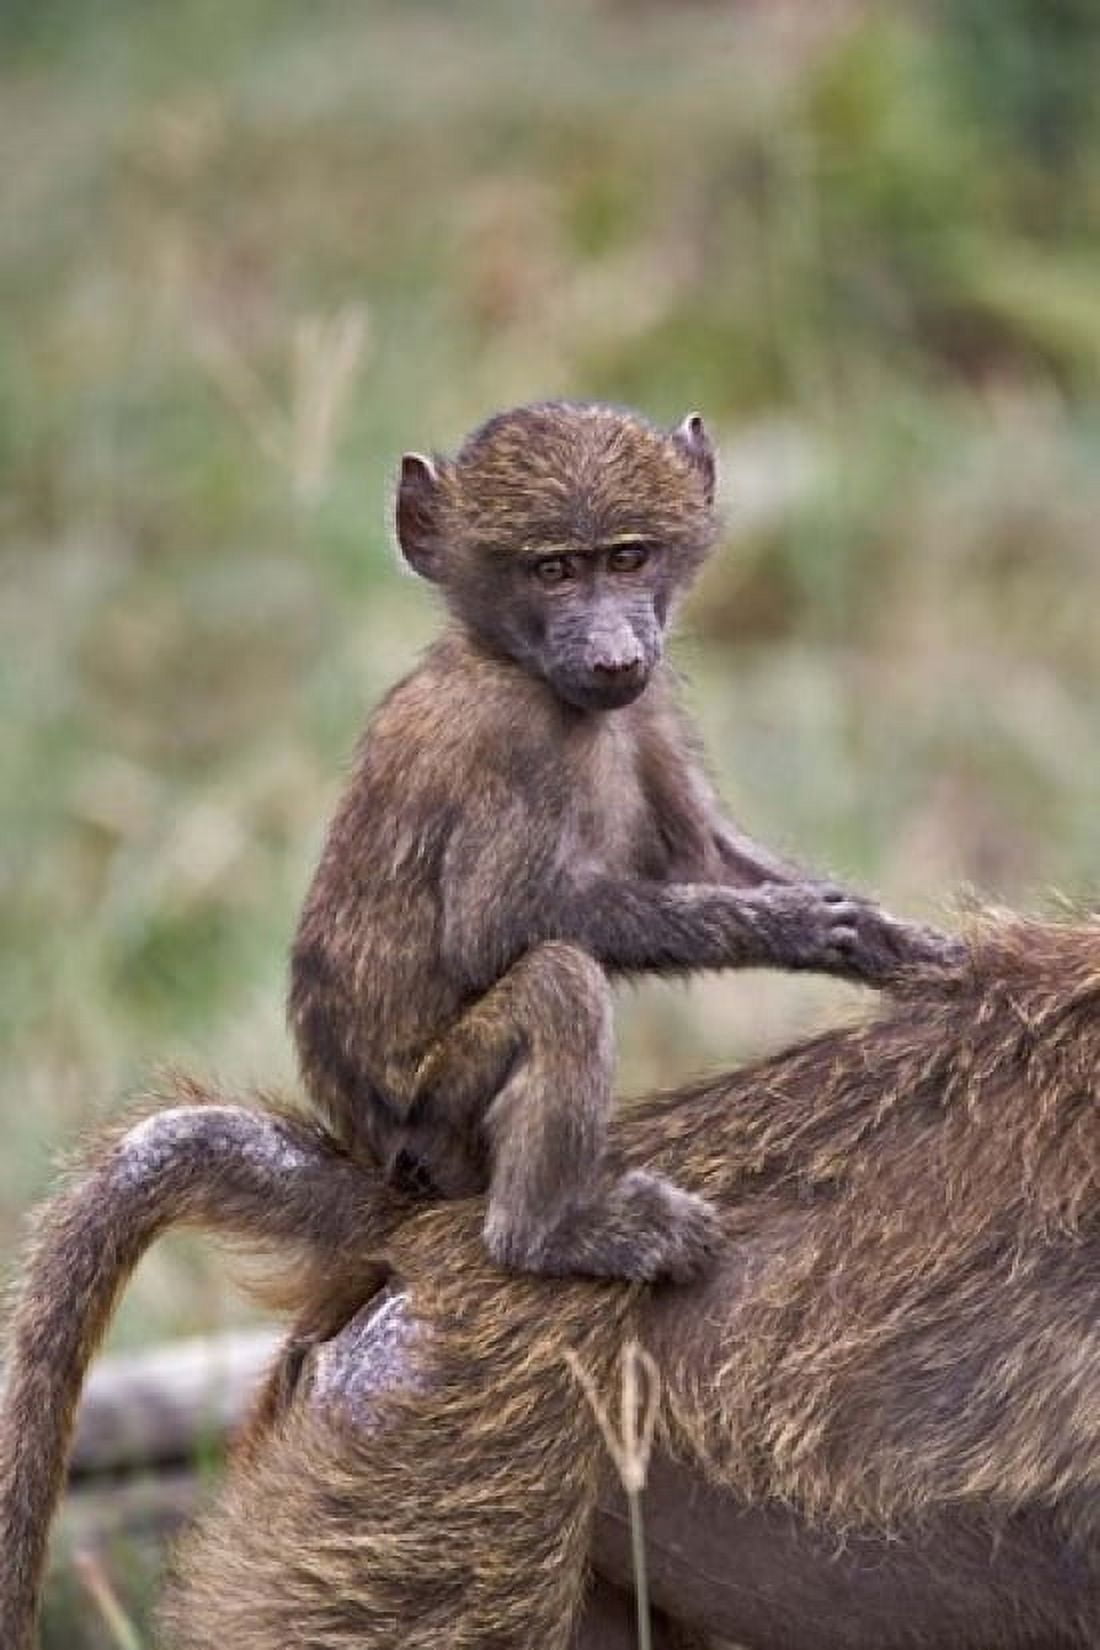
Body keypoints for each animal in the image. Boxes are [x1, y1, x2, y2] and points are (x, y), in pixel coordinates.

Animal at [289, 398, 957, 1282]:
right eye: (554, 571)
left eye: (628, 558)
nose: (614, 655)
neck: (513, 662)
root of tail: (368, 1150)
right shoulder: (512, 740)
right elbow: (495, 928)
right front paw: (799, 924)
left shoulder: (650, 702)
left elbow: (703, 857)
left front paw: (885, 939)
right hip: (434, 1115)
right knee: (560, 985)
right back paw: (549, 1234)